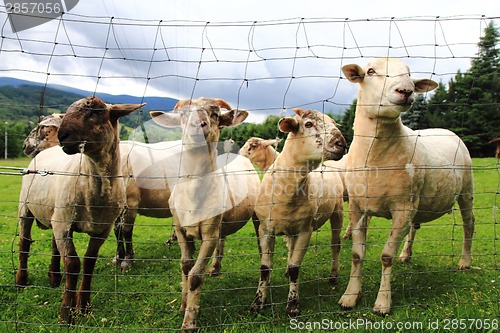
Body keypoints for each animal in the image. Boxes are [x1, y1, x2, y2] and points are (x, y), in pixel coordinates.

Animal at [16, 96, 145, 324]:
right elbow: (73, 265)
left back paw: (54, 276)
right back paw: (21, 280)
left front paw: (84, 307)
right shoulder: (64, 224)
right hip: (26, 208)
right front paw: (67, 313)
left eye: (97, 111)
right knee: (24, 243)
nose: (62, 136)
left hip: (56, 214)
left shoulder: (100, 229)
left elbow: (88, 263)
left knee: (54, 246)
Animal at [148, 96, 260, 330]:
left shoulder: (209, 233)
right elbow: (185, 266)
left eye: (215, 114)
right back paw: (215, 268)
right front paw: (183, 305)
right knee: (223, 240)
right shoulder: (180, 228)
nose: (197, 126)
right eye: (183, 114)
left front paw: (189, 322)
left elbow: (195, 276)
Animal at [252, 108, 346, 316]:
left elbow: (296, 268)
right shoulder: (265, 229)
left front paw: (293, 305)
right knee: (290, 247)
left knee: (335, 245)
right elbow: (264, 268)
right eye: (308, 124)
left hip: (338, 212)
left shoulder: (305, 230)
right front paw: (258, 302)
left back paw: (333, 276)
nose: (342, 143)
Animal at [338, 57, 474, 314]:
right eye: (370, 71)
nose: (406, 91)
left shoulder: (402, 207)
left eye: (409, 74)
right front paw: (350, 296)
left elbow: (386, 256)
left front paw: (383, 302)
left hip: (466, 190)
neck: (375, 158)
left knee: (468, 223)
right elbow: (357, 255)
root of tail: (445, 130)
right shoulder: (358, 208)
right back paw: (406, 254)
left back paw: (465, 261)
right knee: (415, 226)